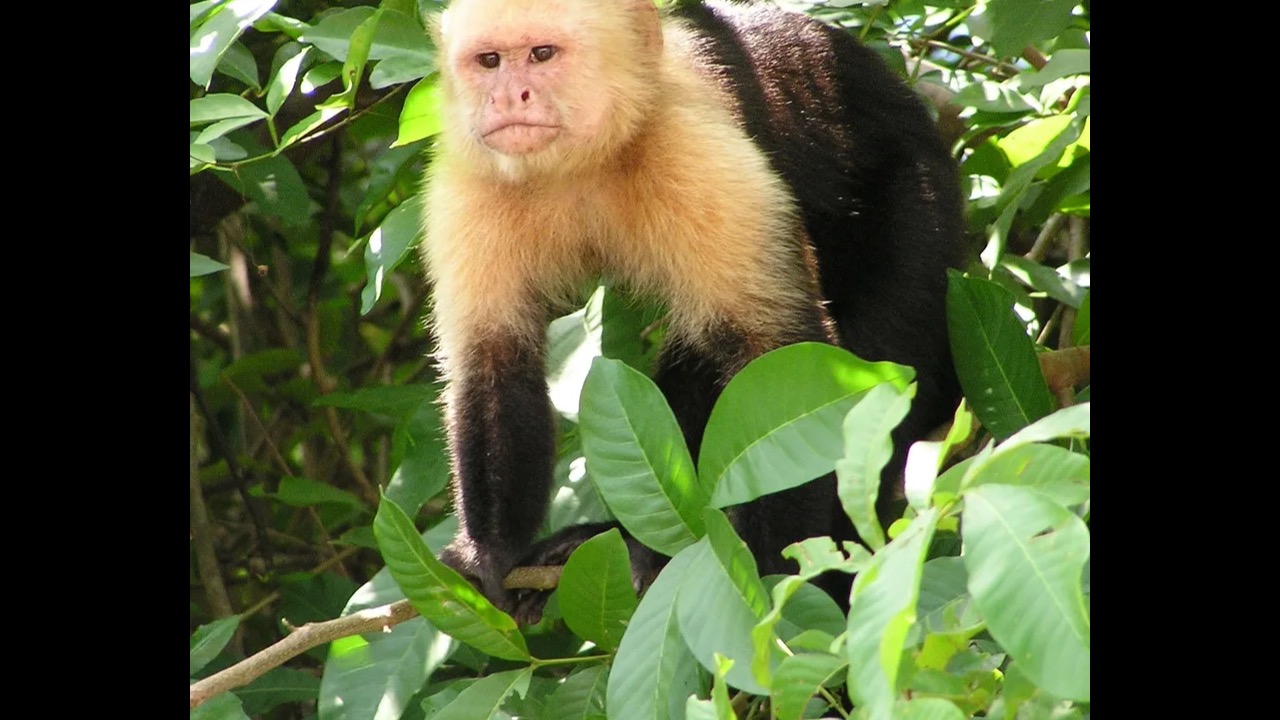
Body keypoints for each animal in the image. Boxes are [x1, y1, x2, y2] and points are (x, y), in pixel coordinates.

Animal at [418, 0, 967, 620]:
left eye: (542, 54)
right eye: (488, 61)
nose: (510, 96)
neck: (582, 164)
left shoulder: (695, 153)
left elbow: (779, 359)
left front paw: (773, 584)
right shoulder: (470, 180)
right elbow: (493, 361)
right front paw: (489, 554)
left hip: (920, 209)